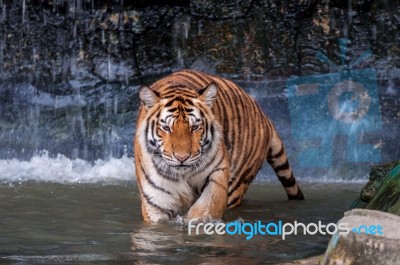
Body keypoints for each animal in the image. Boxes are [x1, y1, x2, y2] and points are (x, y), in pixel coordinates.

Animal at [134, 69, 304, 222]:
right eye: (166, 128)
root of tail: (263, 114)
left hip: (237, 182)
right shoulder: (156, 202)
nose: (182, 158)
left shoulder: (218, 173)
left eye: (195, 127)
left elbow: (205, 207)